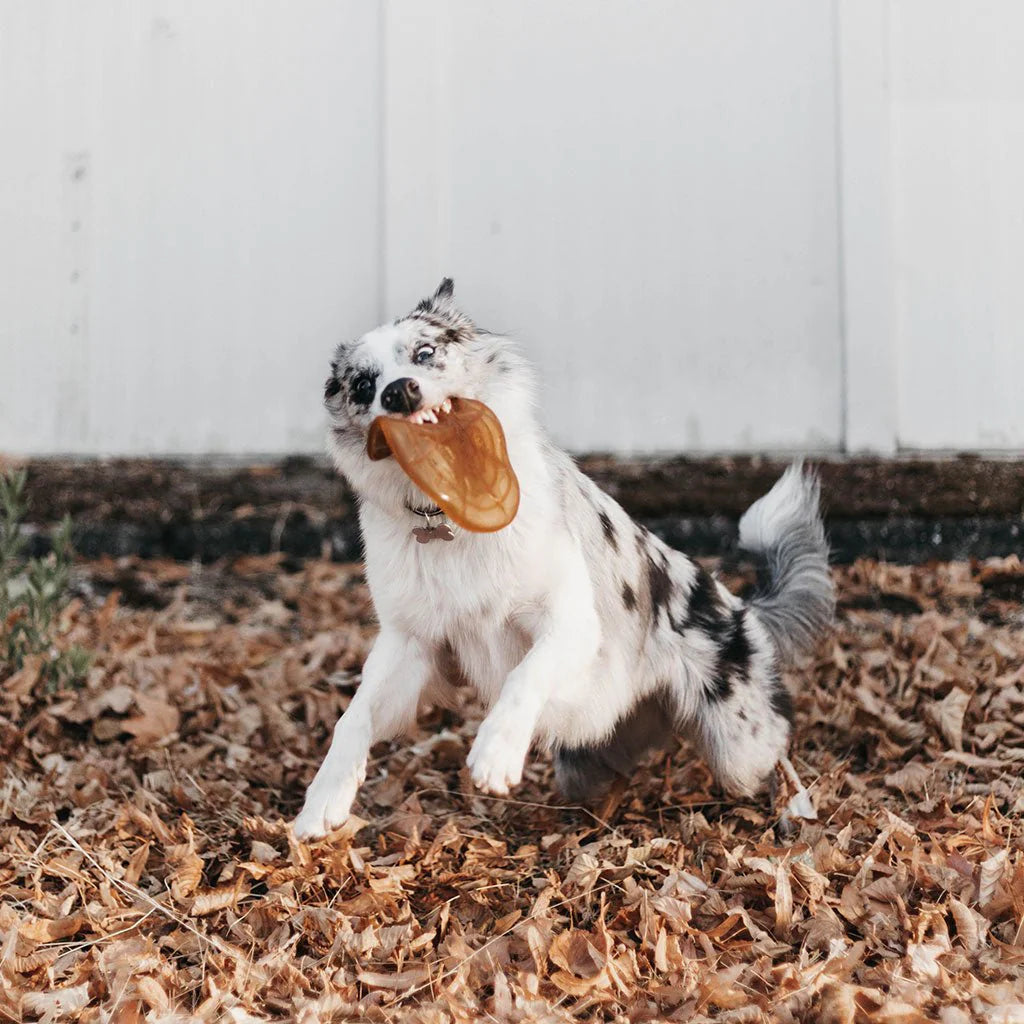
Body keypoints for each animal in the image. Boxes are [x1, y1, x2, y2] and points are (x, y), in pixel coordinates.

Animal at [292, 280, 835, 839]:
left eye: (424, 353)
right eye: (363, 385)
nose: (399, 391)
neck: (451, 515)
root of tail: (744, 609)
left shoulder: (570, 621)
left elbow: (524, 675)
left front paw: (496, 752)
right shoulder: (412, 645)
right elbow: (353, 716)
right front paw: (323, 801)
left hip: (738, 746)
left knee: (776, 744)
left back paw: (797, 804)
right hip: (584, 763)